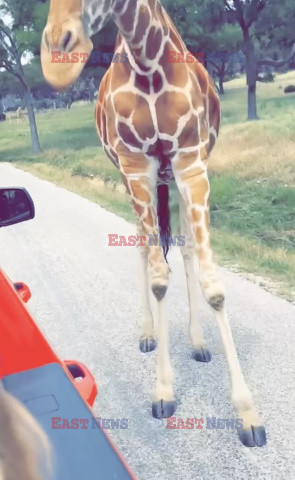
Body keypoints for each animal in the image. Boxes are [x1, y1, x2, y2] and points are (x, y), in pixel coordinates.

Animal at [40, 0, 268, 446]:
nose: (59, 49)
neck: (149, 63)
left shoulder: (191, 163)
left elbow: (212, 282)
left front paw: (248, 415)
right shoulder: (135, 167)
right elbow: (159, 277)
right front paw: (163, 391)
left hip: (171, 181)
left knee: (183, 246)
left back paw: (197, 341)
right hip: (136, 180)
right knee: (143, 247)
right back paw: (147, 334)